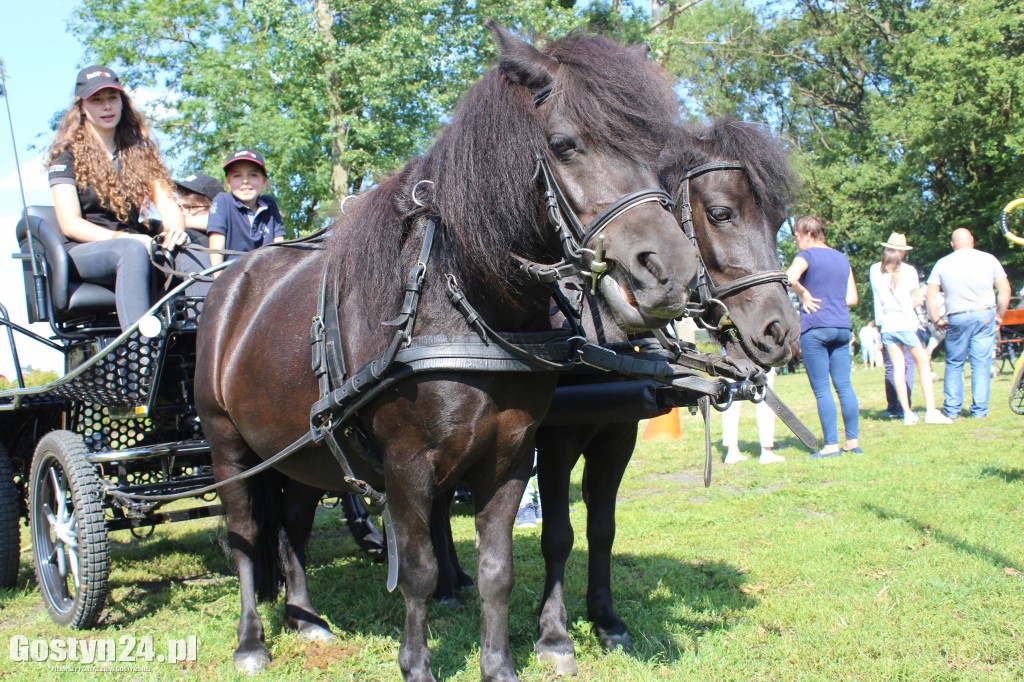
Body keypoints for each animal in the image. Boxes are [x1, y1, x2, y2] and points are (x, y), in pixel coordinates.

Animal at [195, 21, 700, 679]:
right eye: (565, 145)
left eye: (657, 153)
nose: (671, 274)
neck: (465, 307)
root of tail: (231, 280)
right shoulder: (407, 464)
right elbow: (417, 571)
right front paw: (417, 663)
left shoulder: (511, 457)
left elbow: (497, 569)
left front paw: (499, 664)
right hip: (227, 444)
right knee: (245, 535)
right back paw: (252, 640)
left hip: (300, 448)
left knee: (292, 527)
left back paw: (305, 619)